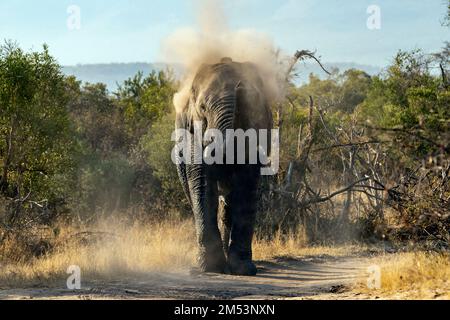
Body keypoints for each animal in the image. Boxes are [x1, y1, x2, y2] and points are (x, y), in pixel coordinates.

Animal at [174, 57, 272, 276]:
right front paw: (210, 268)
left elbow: (246, 184)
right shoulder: (193, 132)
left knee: (228, 203)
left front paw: (243, 269)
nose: (240, 86)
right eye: (202, 108)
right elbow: (202, 182)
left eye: (247, 107)